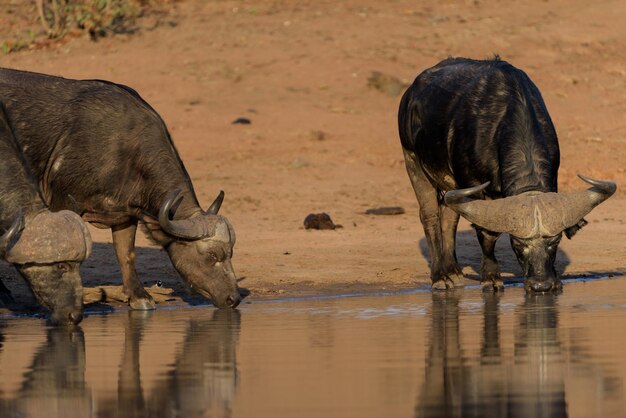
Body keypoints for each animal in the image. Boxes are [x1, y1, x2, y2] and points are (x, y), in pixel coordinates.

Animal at [398, 58, 612, 294]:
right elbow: (487, 234)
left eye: (554, 242)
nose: (541, 285)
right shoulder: (473, 187)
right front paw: (491, 277)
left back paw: (453, 271)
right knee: (430, 215)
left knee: (449, 216)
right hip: (412, 160)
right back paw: (440, 277)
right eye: (517, 243)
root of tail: (411, 93)